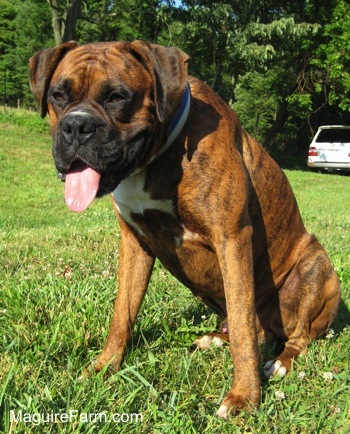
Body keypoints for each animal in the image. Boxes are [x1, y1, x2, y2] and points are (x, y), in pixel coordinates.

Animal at [28, 40, 340, 418]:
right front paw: (104, 367)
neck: (159, 156)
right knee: (253, 329)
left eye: (118, 96)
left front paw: (244, 396)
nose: (77, 126)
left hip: (316, 266)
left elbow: (242, 328)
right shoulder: (135, 243)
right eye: (58, 95)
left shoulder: (232, 239)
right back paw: (216, 338)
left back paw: (281, 361)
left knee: (292, 335)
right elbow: (122, 313)